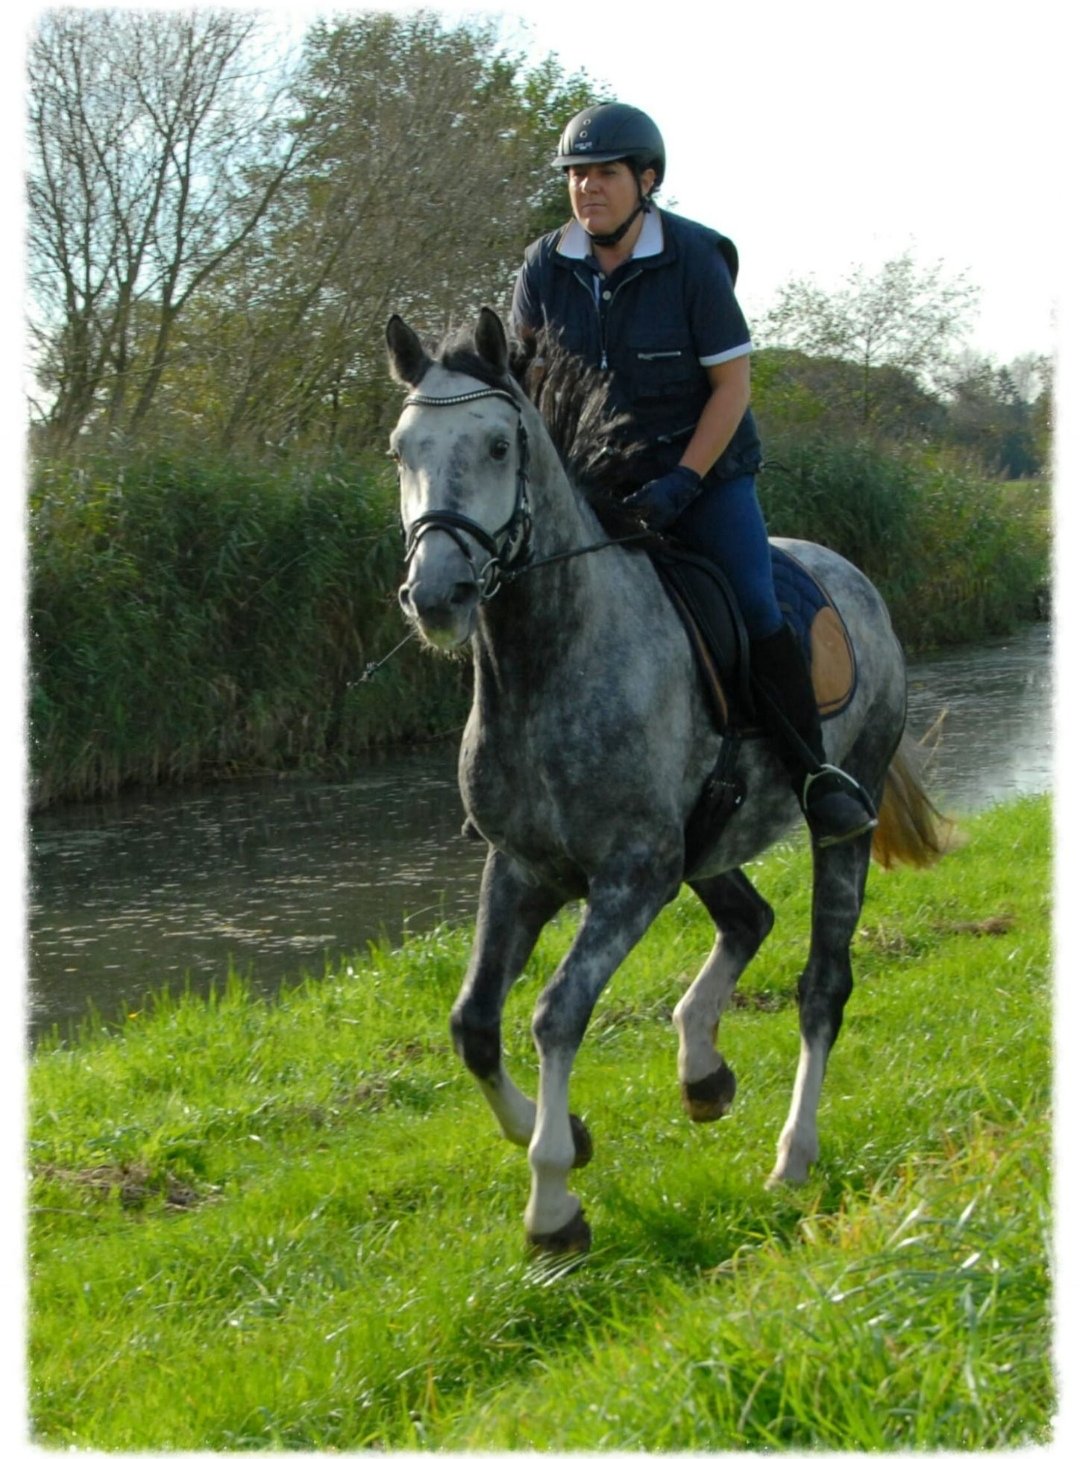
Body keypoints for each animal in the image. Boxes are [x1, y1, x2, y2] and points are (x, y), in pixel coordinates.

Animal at [387, 306, 948, 1255]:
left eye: (498, 445)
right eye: (401, 449)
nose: (438, 596)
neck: (545, 664)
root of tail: (850, 575)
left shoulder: (632, 876)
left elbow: (555, 1012)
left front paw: (552, 1203)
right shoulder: (522, 870)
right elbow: (472, 1023)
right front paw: (567, 1135)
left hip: (839, 821)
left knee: (822, 986)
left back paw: (792, 1154)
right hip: (705, 841)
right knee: (749, 917)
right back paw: (702, 1068)